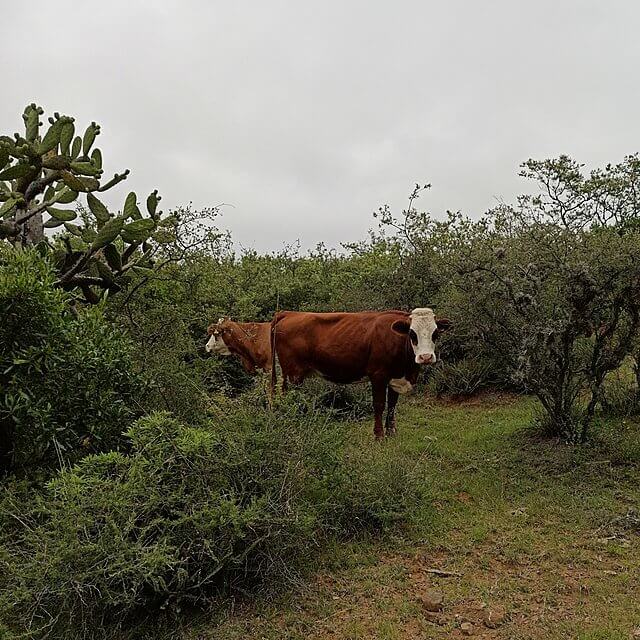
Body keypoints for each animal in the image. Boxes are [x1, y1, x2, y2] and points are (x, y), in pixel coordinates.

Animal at [270, 308, 450, 439]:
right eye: (412, 333)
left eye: (435, 333)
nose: (426, 357)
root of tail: (289, 313)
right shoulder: (378, 375)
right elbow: (379, 405)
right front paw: (379, 435)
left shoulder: (395, 378)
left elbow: (392, 405)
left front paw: (391, 432)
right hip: (293, 374)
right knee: (287, 396)